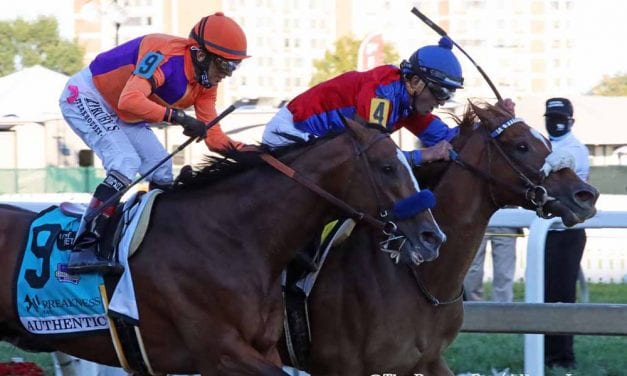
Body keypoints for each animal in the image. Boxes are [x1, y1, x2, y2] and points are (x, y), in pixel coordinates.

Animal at [288, 101, 600, 374]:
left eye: (547, 142)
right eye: (521, 146)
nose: (586, 195)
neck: (422, 278)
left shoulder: (427, 360)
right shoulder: (343, 366)